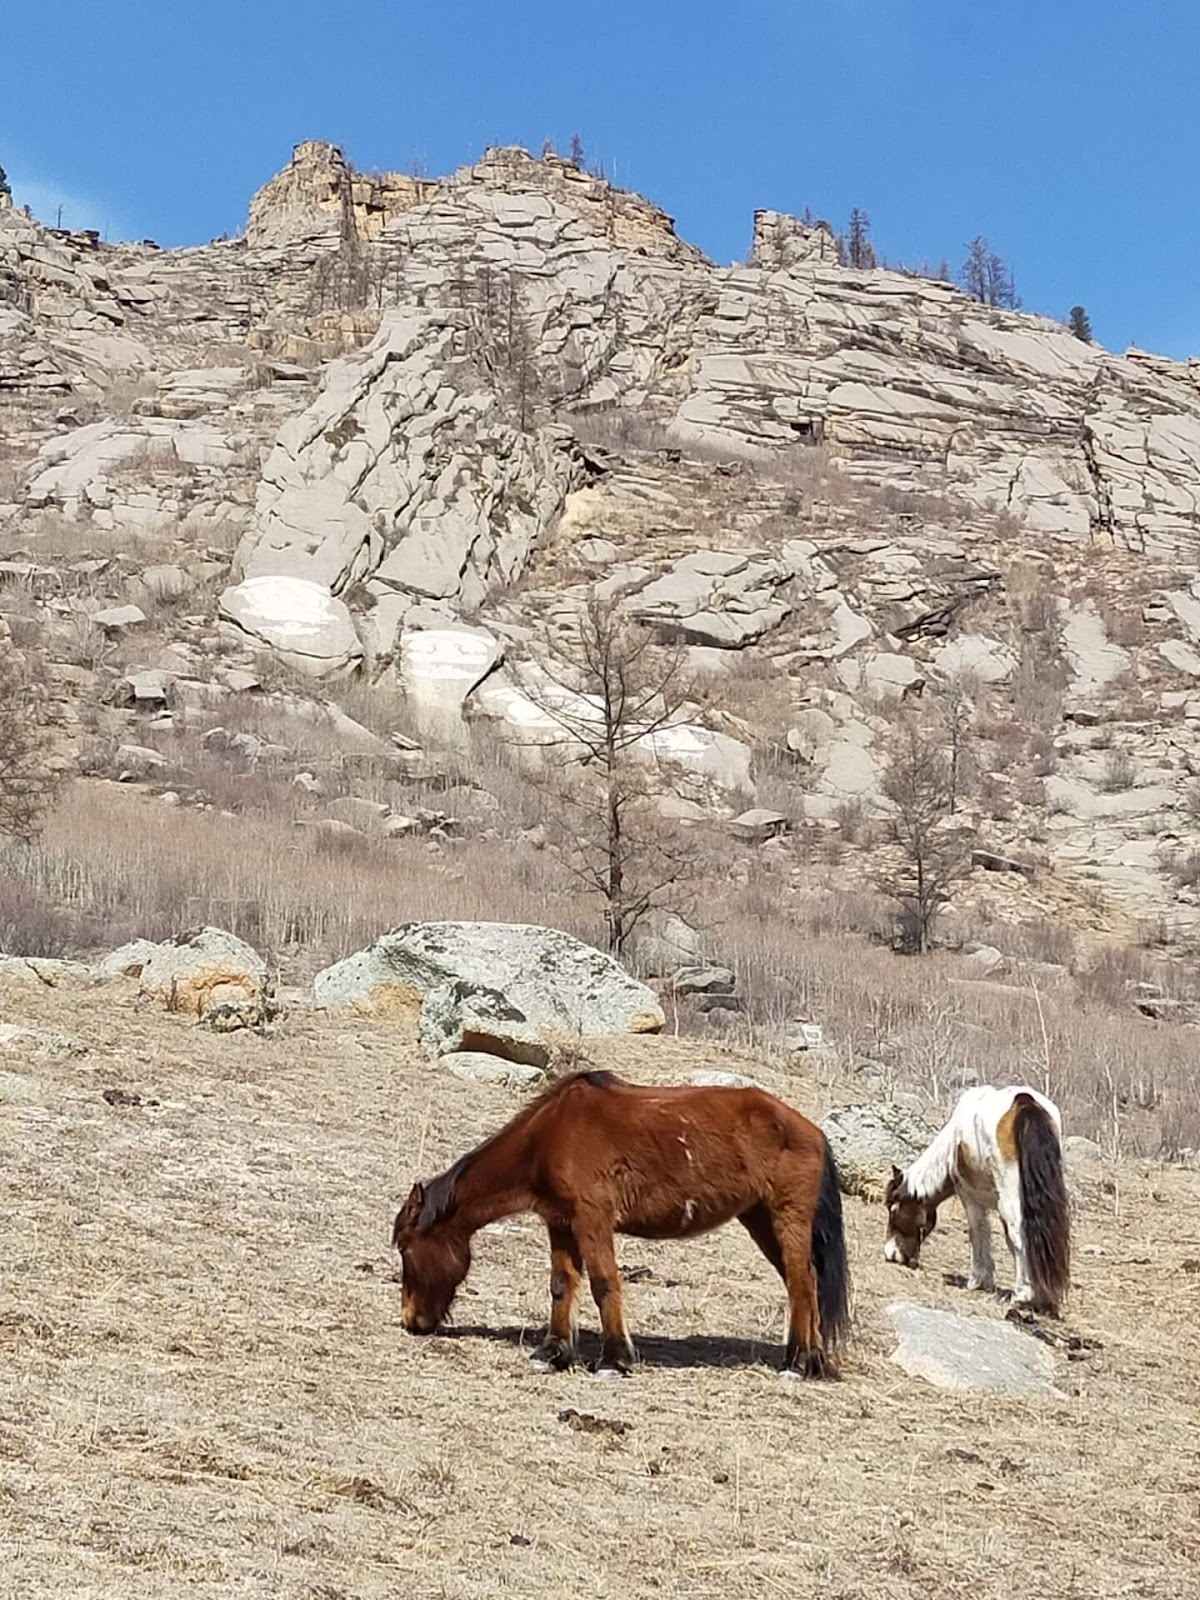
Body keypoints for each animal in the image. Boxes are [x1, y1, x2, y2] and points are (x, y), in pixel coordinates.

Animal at [390, 1075, 851, 1376]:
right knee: (802, 1282)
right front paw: (553, 1353)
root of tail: (811, 1130)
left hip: (786, 1216)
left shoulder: (592, 1219)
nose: (411, 1319)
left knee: (801, 1282)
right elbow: (562, 1284)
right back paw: (806, 1359)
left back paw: (800, 1364)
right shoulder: (561, 1223)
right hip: (759, 1219)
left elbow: (604, 1283)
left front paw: (614, 1359)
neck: (549, 1135)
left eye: (405, 1247)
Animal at [883, 1088, 1068, 1312]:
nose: (890, 1253)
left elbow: (978, 1231)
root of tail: (1024, 1102)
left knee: (1020, 1234)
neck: (952, 1147)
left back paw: (1022, 1296)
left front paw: (979, 1280)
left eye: (893, 1208)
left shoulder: (969, 1198)